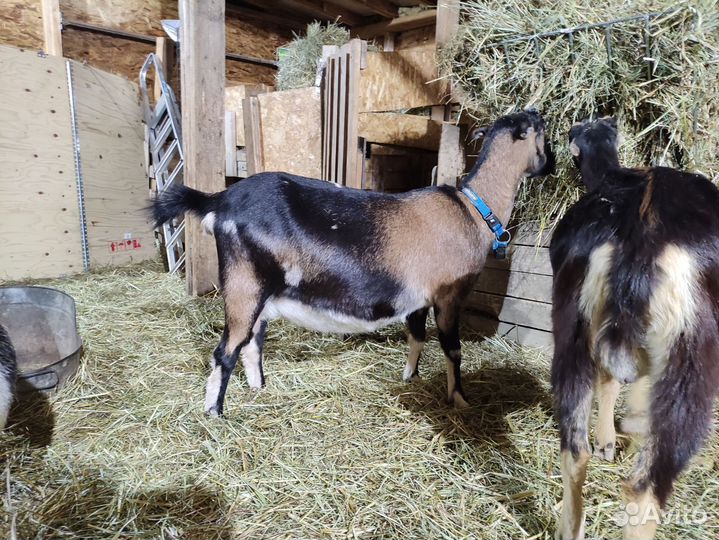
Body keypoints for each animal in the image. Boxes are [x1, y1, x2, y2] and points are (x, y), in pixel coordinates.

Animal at [153, 110, 554, 417]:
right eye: (543, 134)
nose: (551, 165)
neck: (473, 208)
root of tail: (219, 201)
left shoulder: (418, 301)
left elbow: (416, 337)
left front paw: (411, 378)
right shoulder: (449, 295)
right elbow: (453, 350)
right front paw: (461, 401)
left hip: (261, 295)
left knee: (252, 346)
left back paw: (260, 390)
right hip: (243, 287)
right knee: (226, 351)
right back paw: (216, 413)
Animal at [550, 117, 719, 540]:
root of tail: (640, 234)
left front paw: (610, 441)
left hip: (573, 326)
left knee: (574, 449)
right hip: (692, 355)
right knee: (646, 486)